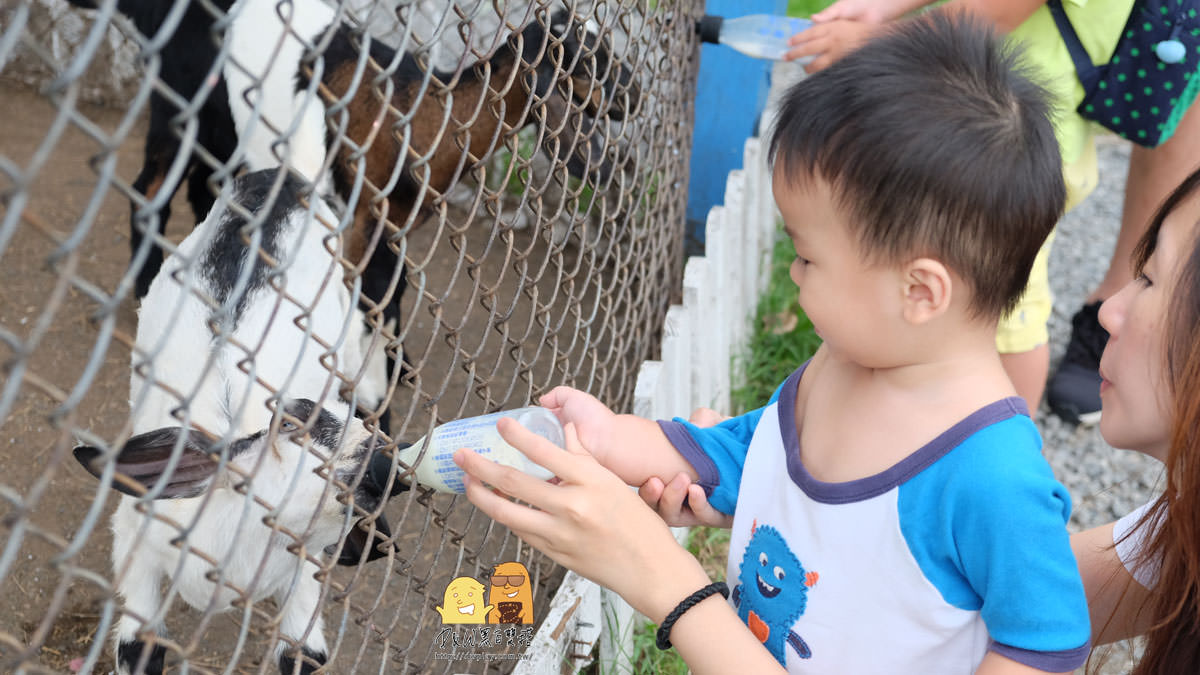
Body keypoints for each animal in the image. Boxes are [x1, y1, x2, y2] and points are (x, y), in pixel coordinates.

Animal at [75, 169, 403, 672]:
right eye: (290, 422)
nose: (388, 469)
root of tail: (280, 176)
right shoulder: (134, 545)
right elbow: (139, 647)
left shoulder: (304, 570)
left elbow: (304, 653)